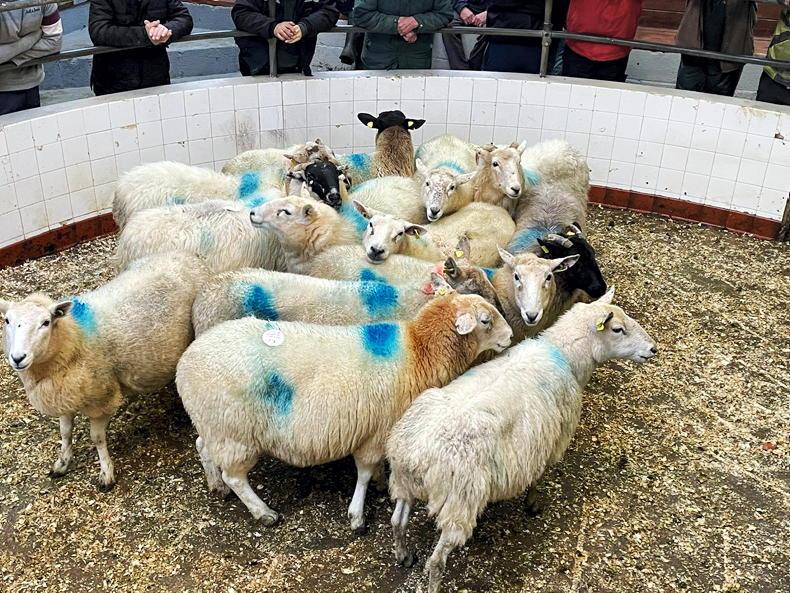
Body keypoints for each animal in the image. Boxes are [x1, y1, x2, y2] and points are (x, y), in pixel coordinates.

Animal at [0, 252, 207, 490]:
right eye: (7, 320)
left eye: (45, 322)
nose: (18, 358)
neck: (74, 337)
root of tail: (189, 256)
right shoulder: (65, 395)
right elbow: (65, 432)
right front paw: (62, 463)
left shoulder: (102, 398)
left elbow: (97, 438)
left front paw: (106, 472)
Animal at [175, 277, 513, 530]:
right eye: (485, 320)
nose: (510, 336)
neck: (420, 351)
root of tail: (185, 363)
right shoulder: (375, 432)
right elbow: (363, 472)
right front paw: (357, 515)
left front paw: (380, 484)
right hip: (234, 432)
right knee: (235, 476)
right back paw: (263, 512)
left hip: (214, 424)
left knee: (202, 446)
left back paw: (216, 485)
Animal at [386, 288, 658, 593]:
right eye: (618, 329)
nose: (653, 349)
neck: (565, 355)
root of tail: (415, 456)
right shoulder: (550, 439)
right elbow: (538, 476)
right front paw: (533, 502)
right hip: (459, 503)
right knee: (435, 562)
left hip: (405, 484)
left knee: (397, 522)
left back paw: (404, 555)